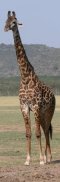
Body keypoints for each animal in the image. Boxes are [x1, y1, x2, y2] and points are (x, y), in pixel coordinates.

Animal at [4, 10, 55, 166]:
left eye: (14, 21)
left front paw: (41, 160)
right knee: (46, 130)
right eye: (5, 21)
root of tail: (54, 95)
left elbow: (37, 133)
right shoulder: (24, 107)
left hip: (48, 111)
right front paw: (27, 159)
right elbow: (28, 133)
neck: (25, 77)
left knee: (46, 130)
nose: (6, 28)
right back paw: (48, 157)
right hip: (43, 113)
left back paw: (48, 158)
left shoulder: (36, 106)